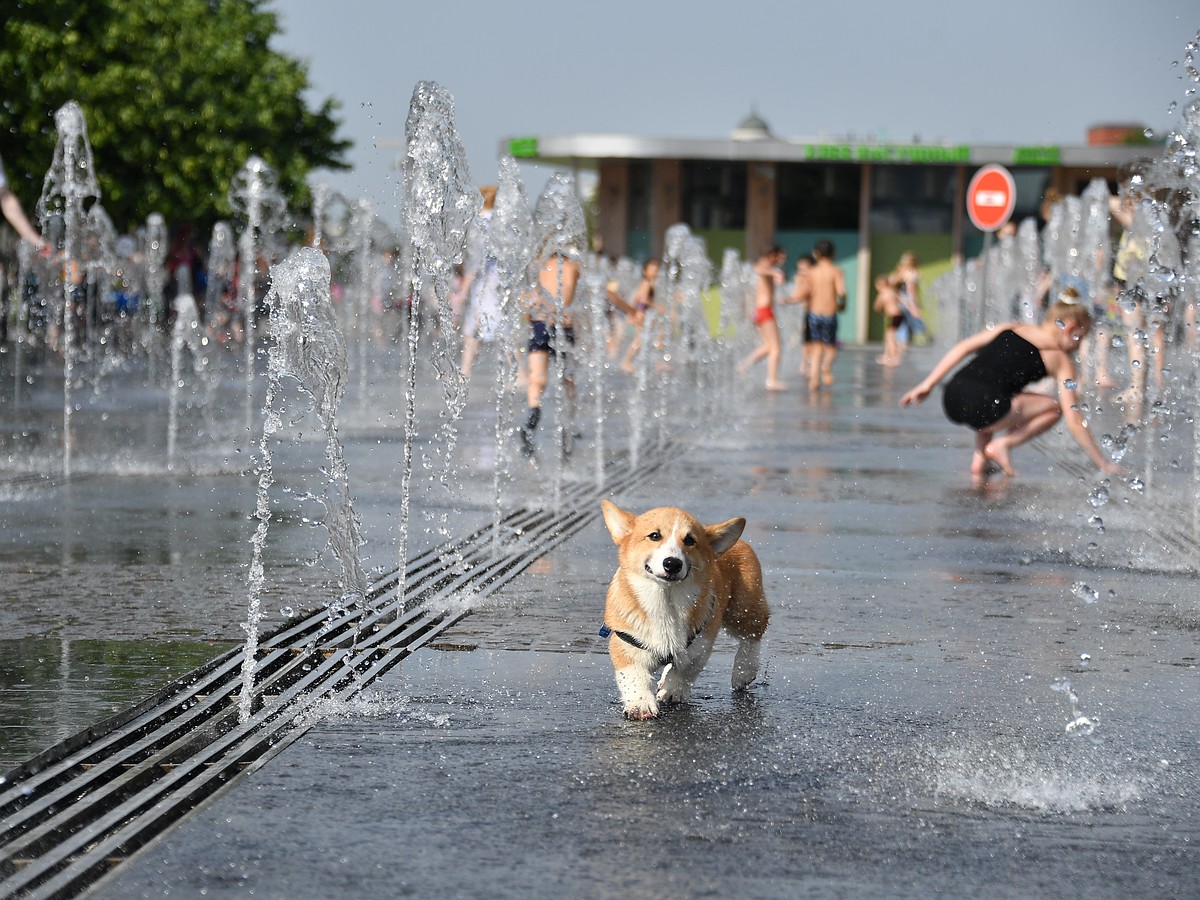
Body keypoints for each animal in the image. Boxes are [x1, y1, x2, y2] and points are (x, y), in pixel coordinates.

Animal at [600, 496, 768, 724]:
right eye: (654, 536)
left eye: (689, 540)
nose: (672, 563)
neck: (666, 599)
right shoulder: (627, 642)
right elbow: (634, 677)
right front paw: (640, 705)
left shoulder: (701, 643)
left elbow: (685, 670)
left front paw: (672, 691)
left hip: (743, 609)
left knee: (753, 635)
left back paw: (743, 670)